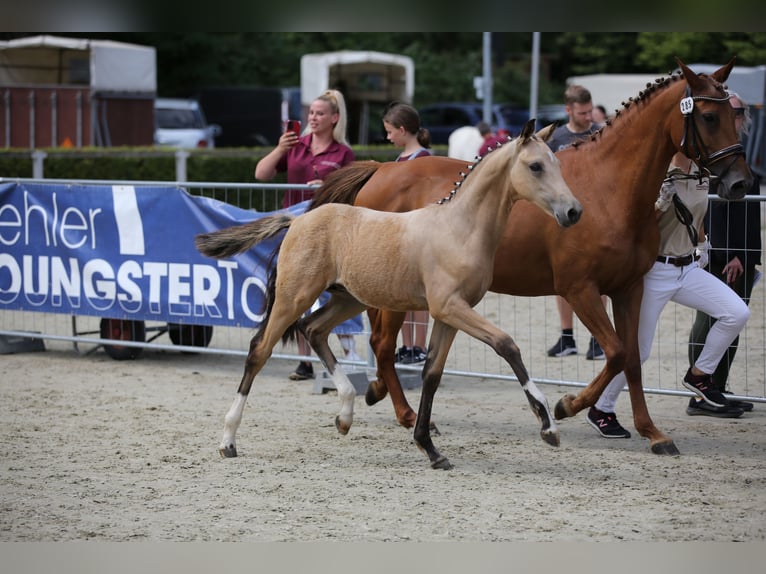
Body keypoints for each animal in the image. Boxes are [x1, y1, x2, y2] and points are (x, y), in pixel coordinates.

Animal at [196, 120, 584, 468]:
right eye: (535, 166)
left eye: (557, 164)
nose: (573, 211)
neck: (460, 229)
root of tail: (297, 220)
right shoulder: (451, 307)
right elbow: (507, 345)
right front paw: (548, 426)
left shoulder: (449, 315)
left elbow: (432, 374)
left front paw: (430, 448)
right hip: (295, 296)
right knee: (259, 350)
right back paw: (228, 440)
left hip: (347, 298)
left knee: (314, 329)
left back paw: (345, 415)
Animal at [308, 56, 756, 456]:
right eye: (709, 117)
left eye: (736, 116)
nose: (739, 184)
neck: (610, 188)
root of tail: (381, 169)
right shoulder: (580, 289)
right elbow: (614, 352)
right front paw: (566, 406)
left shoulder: (630, 288)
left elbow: (631, 358)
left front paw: (652, 432)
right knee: (382, 343)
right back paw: (404, 413)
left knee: (380, 343)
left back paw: (386, 399)